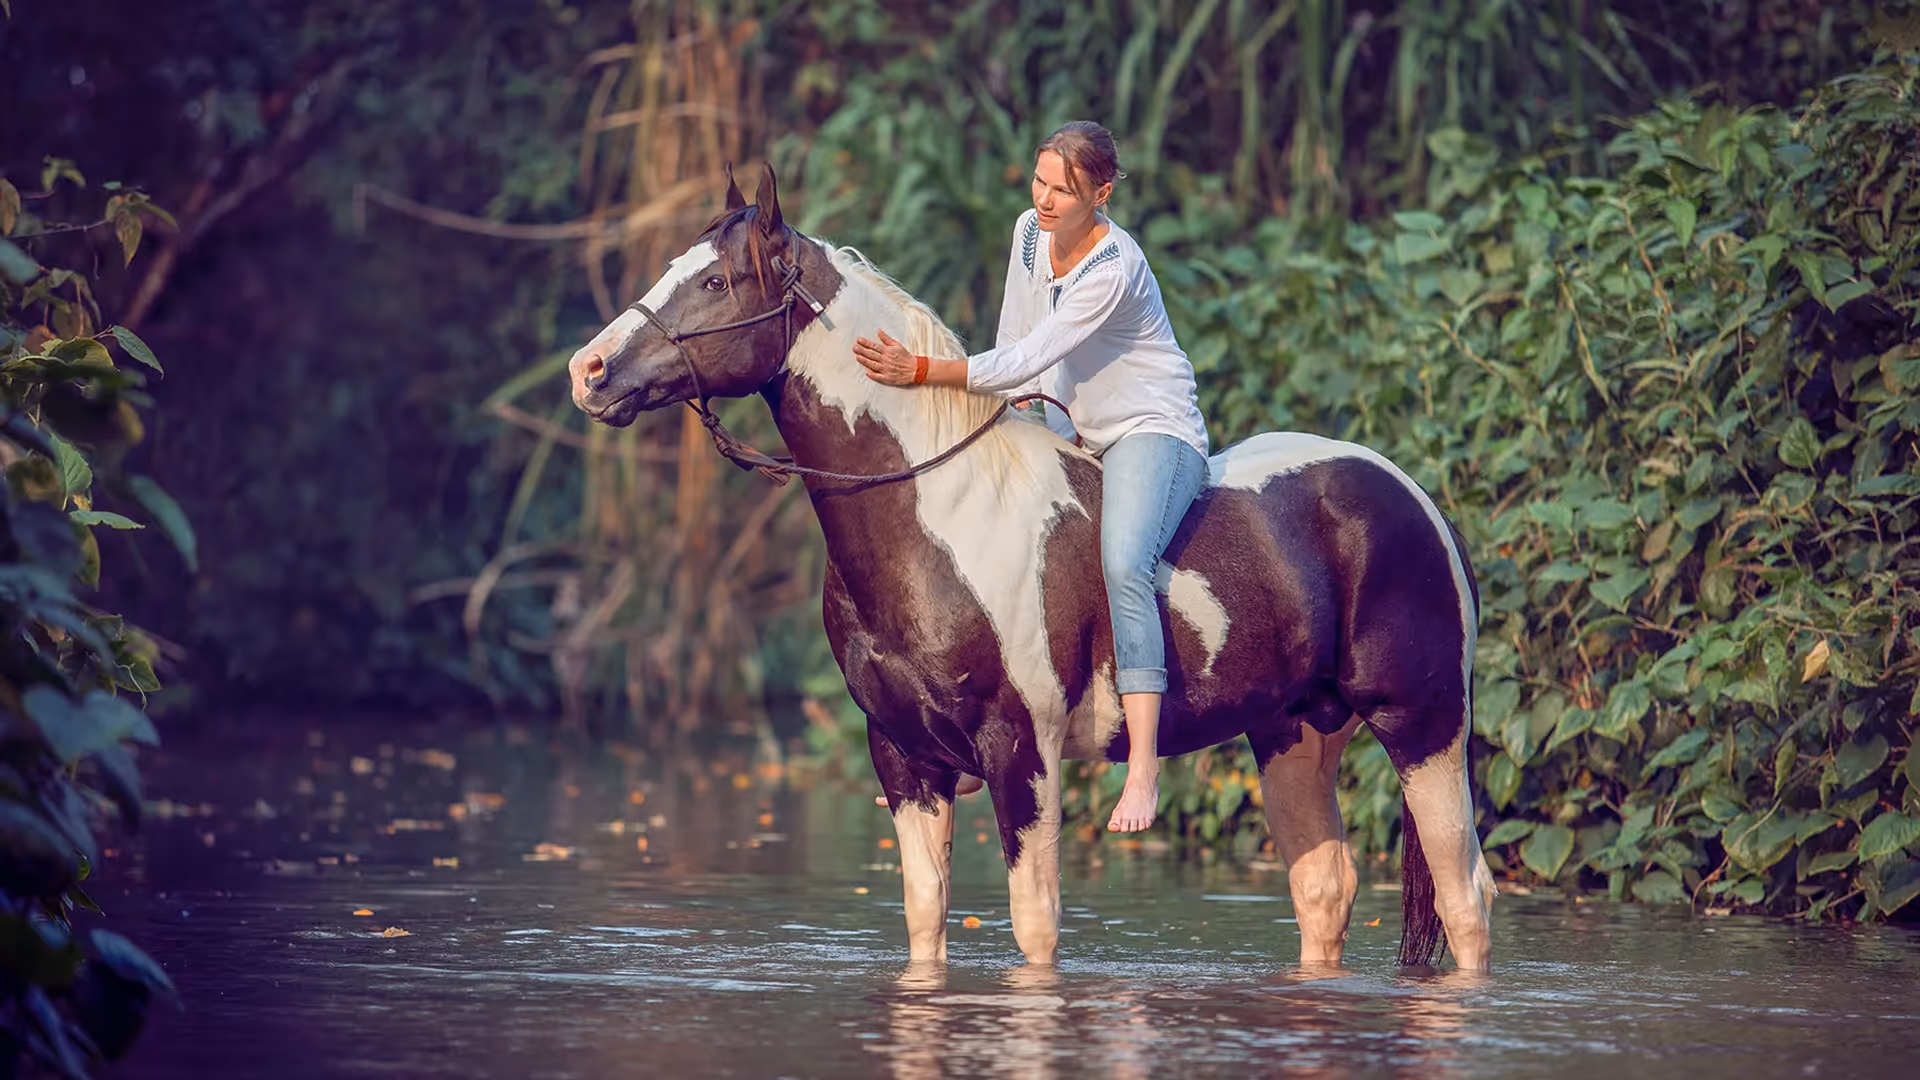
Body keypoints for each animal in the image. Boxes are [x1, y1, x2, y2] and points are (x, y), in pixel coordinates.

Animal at [568, 164, 1497, 970]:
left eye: (718, 284)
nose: (589, 371)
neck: (939, 516)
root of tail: (1415, 497)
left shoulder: (1023, 751)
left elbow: (1035, 926)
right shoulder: (904, 758)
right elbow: (925, 919)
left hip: (1425, 728)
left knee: (1465, 897)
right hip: (1296, 731)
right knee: (1324, 890)